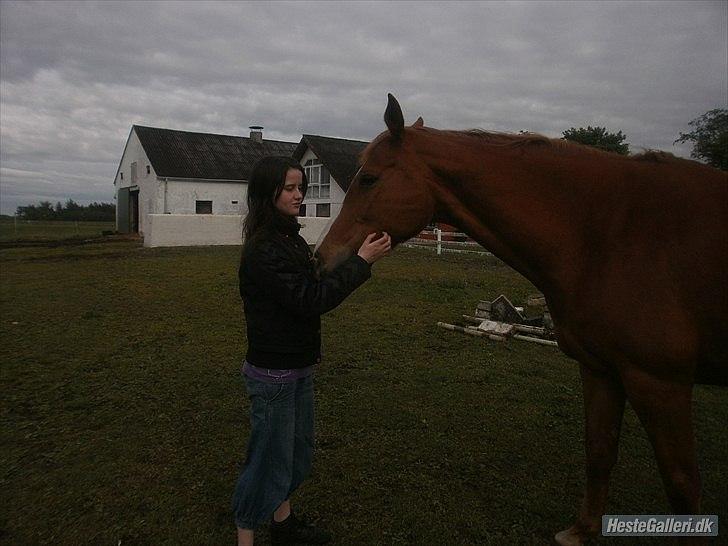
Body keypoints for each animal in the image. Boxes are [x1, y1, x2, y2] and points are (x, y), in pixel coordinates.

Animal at [314, 94, 728, 544]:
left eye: (369, 179)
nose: (320, 257)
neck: (610, 234)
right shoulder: (602, 369)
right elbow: (600, 449)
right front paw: (581, 532)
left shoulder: (660, 382)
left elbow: (682, 485)